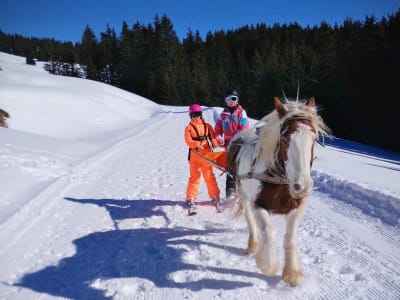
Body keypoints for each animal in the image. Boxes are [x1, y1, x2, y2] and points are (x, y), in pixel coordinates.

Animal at [227, 96, 330, 286]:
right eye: (286, 139)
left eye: (314, 138)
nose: (302, 186)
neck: (279, 179)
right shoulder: (258, 205)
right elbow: (269, 232)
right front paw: (267, 263)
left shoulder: (297, 208)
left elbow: (290, 238)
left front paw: (292, 273)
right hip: (243, 191)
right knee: (250, 219)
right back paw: (253, 244)